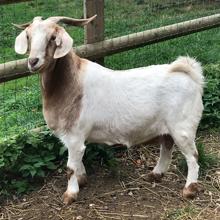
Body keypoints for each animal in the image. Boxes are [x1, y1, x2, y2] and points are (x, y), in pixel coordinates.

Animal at [13, 15, 203, 205]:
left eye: (52, 37)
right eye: (28, 36)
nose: (33, 61)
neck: (72, 83)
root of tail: (192, 75)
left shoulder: (75, 136)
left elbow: (70, 167)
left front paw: (70, 195)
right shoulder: (73, 139)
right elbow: (78, 163)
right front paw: (82, 180)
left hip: (182, 127)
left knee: (193, 156)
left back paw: (189, 190)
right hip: (166, 128)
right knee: (167, 148)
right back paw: (155, 174)